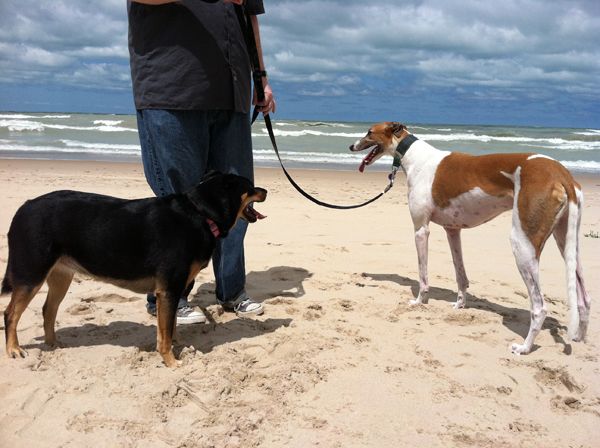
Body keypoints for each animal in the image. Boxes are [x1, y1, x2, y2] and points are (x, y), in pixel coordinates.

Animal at [0, 172, 268, 368]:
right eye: (249, 186)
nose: (265, 190)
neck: (200, 214)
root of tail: (25, 207)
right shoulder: (169, 290)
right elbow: (165, 333)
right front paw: (171, 362)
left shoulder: (171, 292)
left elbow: (169, 326)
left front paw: (176, 345)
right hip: (30, 275)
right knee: (10, 313)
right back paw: (14, 349)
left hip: (60, 276)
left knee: (48, 310)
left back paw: (54, 345)